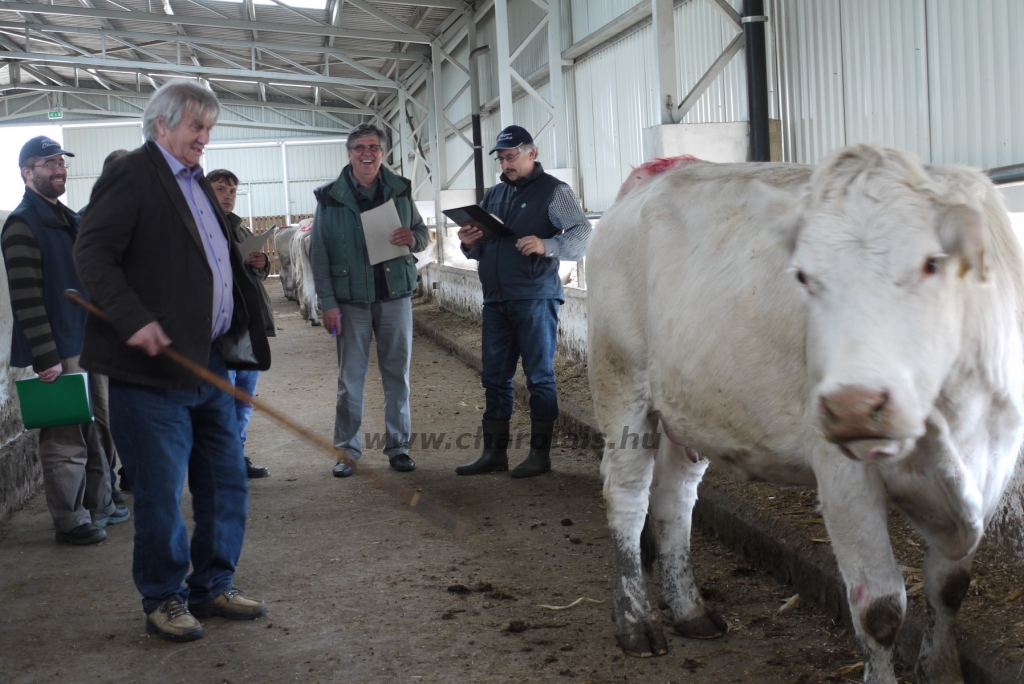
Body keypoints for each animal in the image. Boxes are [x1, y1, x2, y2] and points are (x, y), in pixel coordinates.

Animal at [589, 145, 1024, 684]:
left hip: (690, 407)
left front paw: (941, 670)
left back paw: (690, 609)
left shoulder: (993, 467)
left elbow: (949, 585)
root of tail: (655, 177)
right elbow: (880, 610)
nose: (853, 405)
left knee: (675, 498)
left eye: (932, 263)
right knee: (627, 497)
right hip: (621, 383)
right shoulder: (843, 477)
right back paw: (636, 622)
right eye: (803, 276)